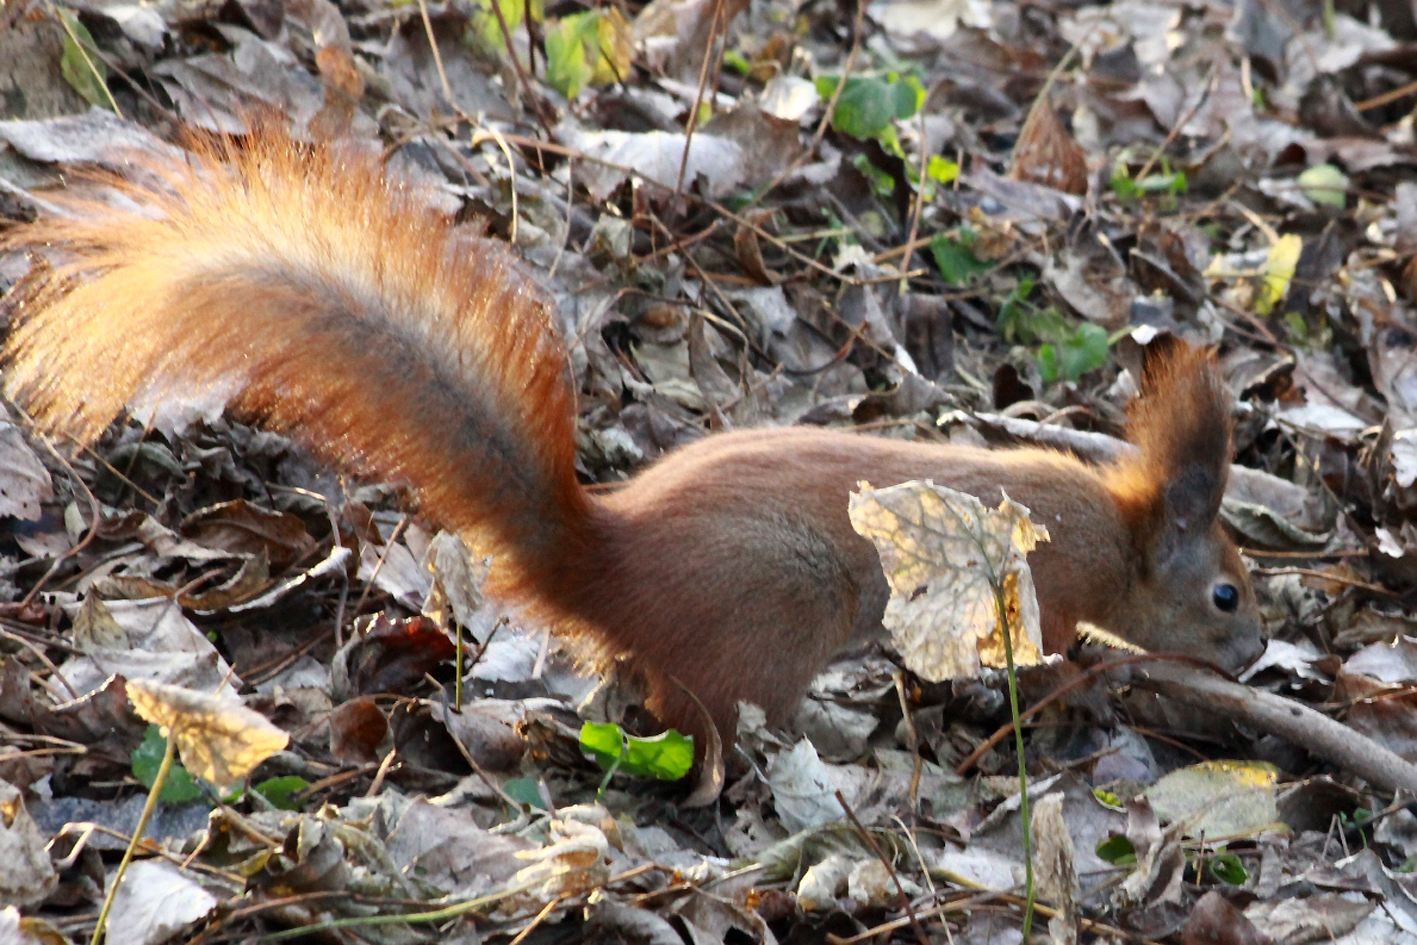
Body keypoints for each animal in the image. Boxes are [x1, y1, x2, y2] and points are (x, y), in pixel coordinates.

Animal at [0, 127, 1263, 748]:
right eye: (1227, 595)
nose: (1256, 657)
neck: (1119, 531)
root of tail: (604, 563)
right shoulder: (1039, 591)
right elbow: (1038, 659)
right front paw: (1080, 688)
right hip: (777, 607)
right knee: (701, 709)